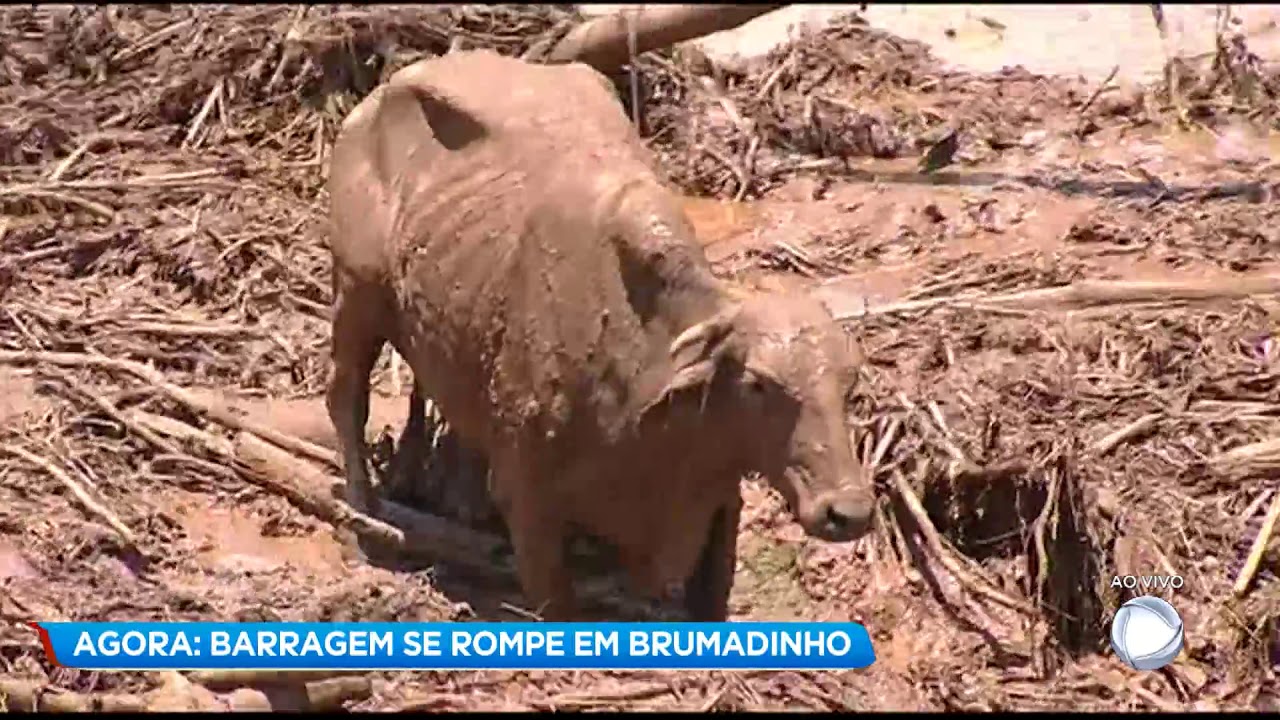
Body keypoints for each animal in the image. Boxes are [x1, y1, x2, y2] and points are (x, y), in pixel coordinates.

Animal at [325, 49, 875, 617]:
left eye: (850, 385)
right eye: (759, 383)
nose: (847, 511)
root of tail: (373, 102)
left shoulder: (718, 500)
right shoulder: (530, 498)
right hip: (357, 294)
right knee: (345, 397)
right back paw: (364, 514)